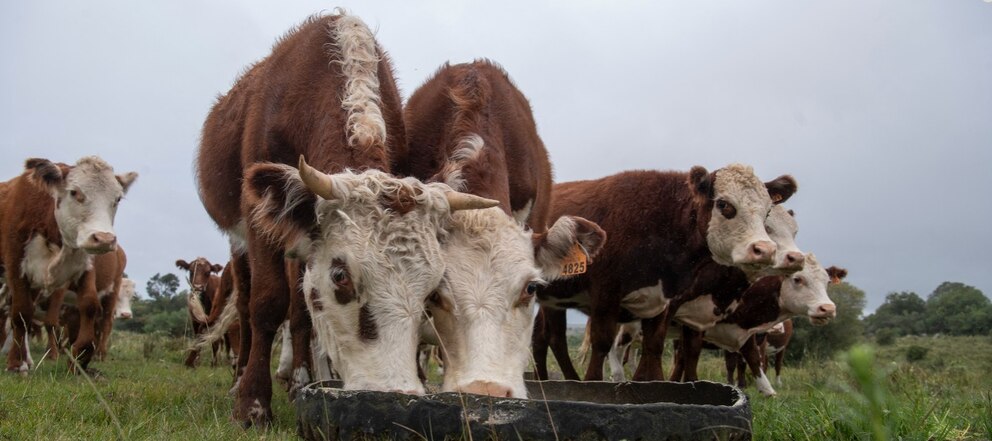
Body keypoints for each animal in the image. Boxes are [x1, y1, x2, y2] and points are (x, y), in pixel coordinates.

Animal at [0, 156, 136, 373]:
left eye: (117, 199)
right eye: (74, 192)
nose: (104, 239)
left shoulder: (83, 267)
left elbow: (89, 305)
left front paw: (81, 356)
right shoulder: (16, 267)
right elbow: (21, 313)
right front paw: (16, 362)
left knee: (105, 322)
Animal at [196, 11, 497, 426]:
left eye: (431, 290)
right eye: (341, 276)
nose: (392, 393)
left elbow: (301, 310)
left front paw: (300, 385)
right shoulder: (259, 221)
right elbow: (267, 304)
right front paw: (252, 405)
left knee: (299, 311)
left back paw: (299, 380)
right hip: (239, 240)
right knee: (246, 304)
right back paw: (240, 379)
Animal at [533, 166, 796, 381]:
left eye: (767, 212)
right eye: (724, 205)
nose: (764, 250)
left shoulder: (662, 302)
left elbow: (654, 346)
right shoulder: (606, 295)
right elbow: (602, 343)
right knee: (553, 338)